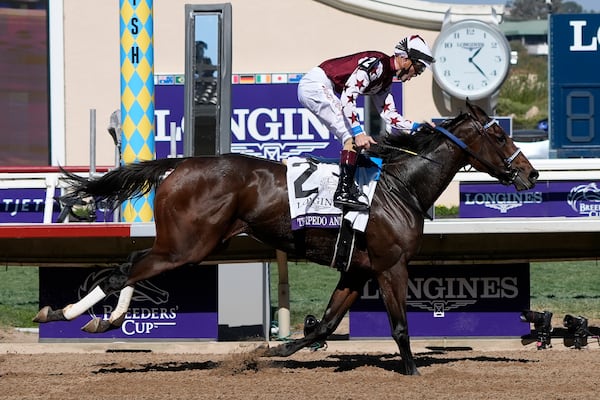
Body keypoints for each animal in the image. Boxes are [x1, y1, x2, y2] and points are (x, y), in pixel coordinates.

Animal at [35, 101, 536, 376]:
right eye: (498, 133)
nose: (530, 174)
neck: (401, 186)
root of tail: (179, 164)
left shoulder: (358, 268)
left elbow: (327, 325)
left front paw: (270, 350)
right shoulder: (391, 265)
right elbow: (399, 326)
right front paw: (412, 372)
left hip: (183, 244)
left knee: (129, 263)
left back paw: (95, 317)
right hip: (188, 246)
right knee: (122, 272)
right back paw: (69, 313)